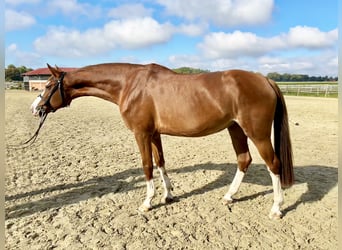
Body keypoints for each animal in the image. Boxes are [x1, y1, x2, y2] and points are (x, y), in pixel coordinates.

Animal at [30, 63, 294, 219]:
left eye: (48, 85)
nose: (35, 108)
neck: (130, 84)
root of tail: (264, 80)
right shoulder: (155, 134)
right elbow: (160, 163)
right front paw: (167, 195)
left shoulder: (141, 133)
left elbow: (147, 166)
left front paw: (147, 202)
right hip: (236, 129)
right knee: (244, 160)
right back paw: (229, 196)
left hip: (257, 133)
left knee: (273, 164)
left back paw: (276, 208)